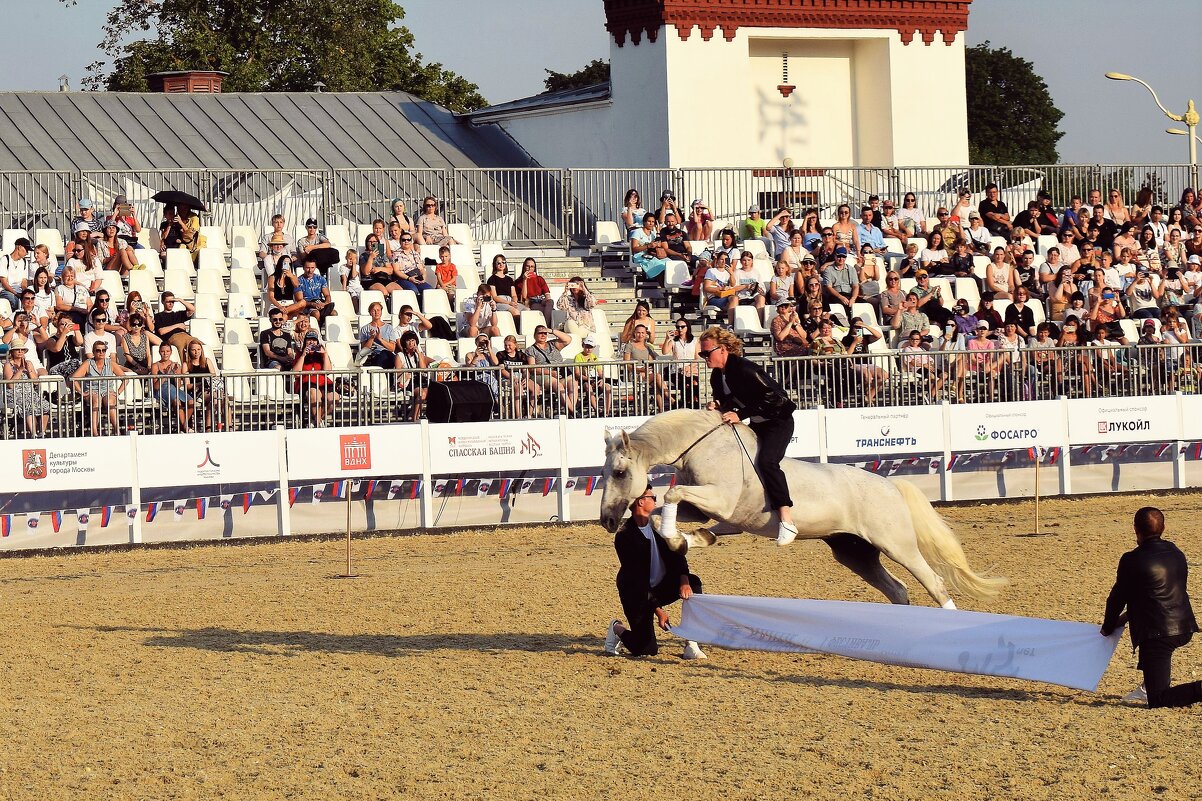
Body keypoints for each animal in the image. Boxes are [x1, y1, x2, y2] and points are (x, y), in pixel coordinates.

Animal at [598, 411, 1004, 606]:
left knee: (933, 583)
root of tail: (890, 485)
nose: (606, 520)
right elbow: (669, 512)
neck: (703, 445)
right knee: (898, 590)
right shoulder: (711, 510)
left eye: (619, 472)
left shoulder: (719, 500)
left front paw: (677, 538)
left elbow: (670, 496)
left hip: (897, 546)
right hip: (855, 553)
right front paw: (683, 540)